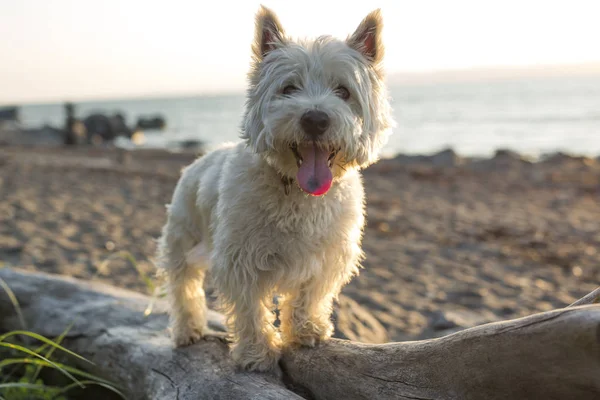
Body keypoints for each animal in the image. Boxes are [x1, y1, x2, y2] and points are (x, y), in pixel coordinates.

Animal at [156, 5, 394, 372]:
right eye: (288, 88)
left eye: (343, 91)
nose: (315, 119)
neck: (297, 192)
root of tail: (198, 160)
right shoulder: (239, 259)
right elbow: (251, 309)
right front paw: (256, 353)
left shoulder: (327, 255)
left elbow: (311, 295)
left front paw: (307, 331)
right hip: (182, 236)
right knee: (183, 285)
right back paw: (186, 331)